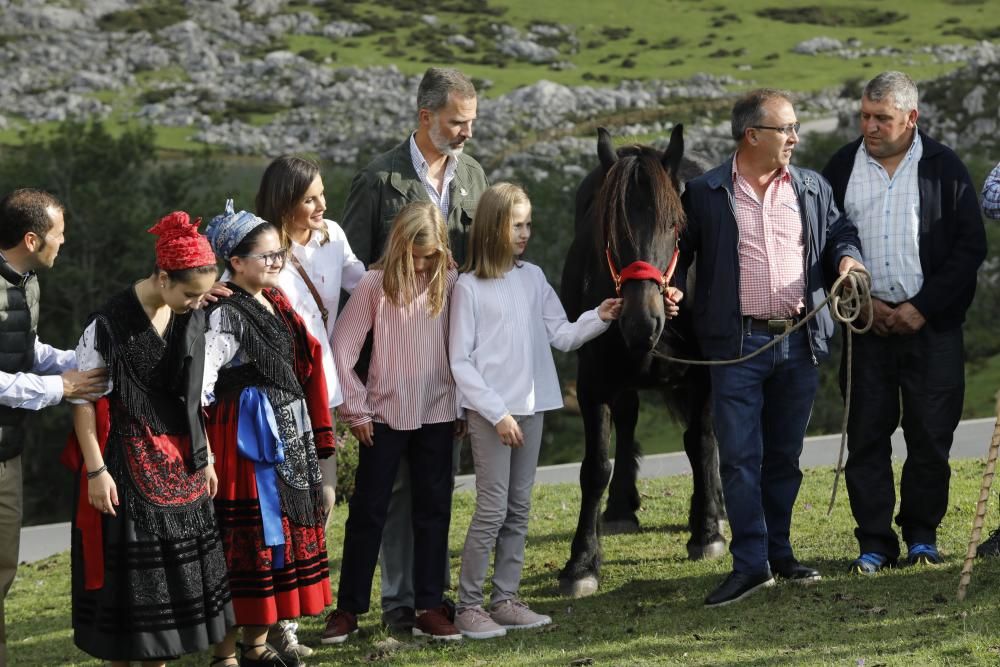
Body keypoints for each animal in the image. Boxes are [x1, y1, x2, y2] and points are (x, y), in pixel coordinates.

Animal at [556, 126, 728, 600]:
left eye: (675, 225)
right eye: (610, 228)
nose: (641, 320)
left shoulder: (705, 373)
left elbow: (701, 442)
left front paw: (706, 531)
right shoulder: (594, 381)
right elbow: (595, 467)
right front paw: (581, 563)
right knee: (629, 418)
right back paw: (620, 507)